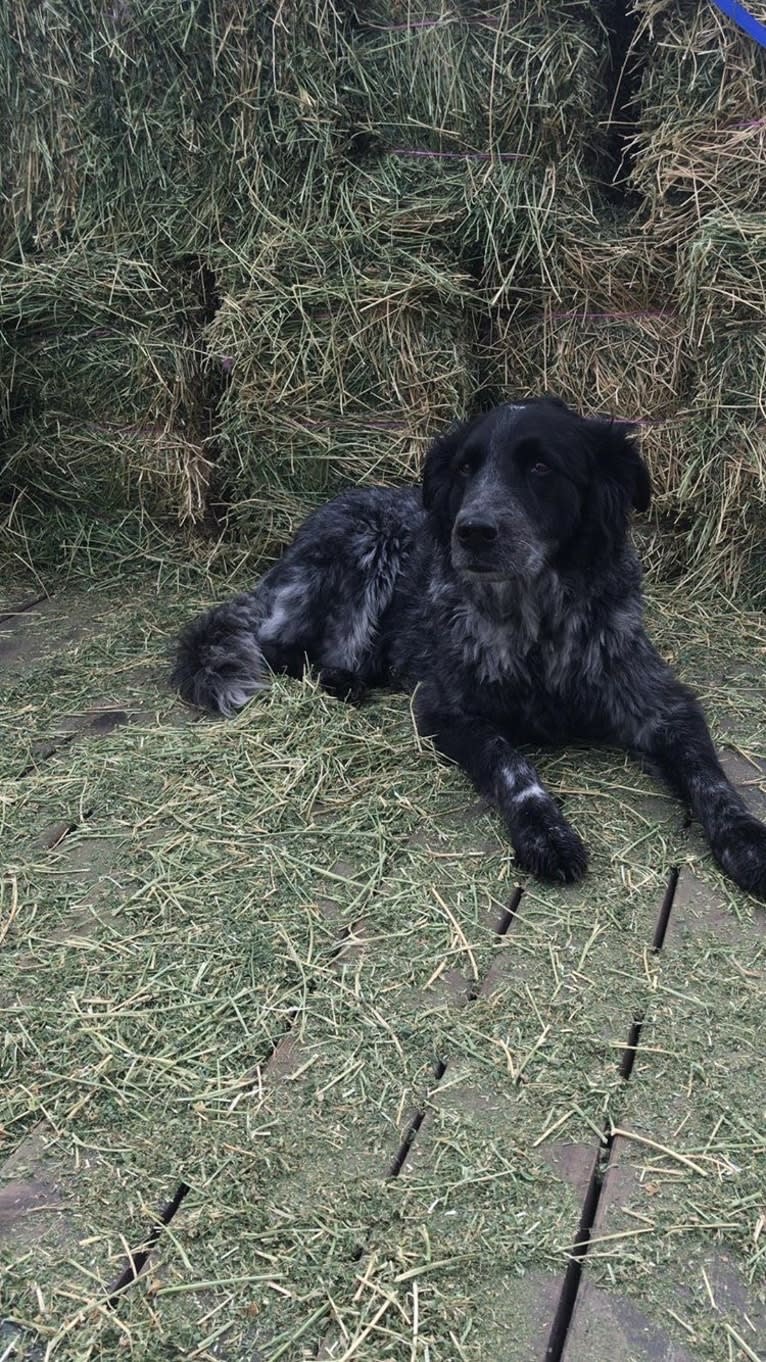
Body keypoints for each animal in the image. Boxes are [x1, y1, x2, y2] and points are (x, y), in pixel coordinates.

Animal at [169, 397, 763, 898]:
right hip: (364, 548)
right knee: (279, 644)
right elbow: (511, 765)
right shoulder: (446, 709)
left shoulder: (663, 703)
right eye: (464, 469)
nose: (472, 531)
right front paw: (545, 832)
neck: (537, 628)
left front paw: (747, 839)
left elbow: (709, 776)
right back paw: (341, 679)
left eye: (541, 468)